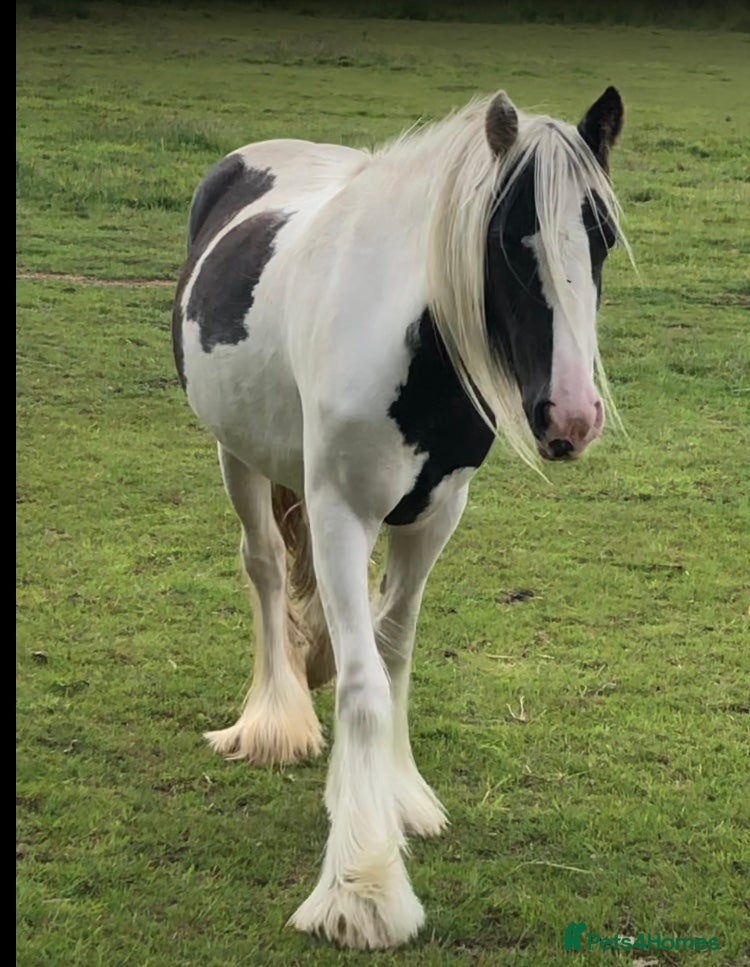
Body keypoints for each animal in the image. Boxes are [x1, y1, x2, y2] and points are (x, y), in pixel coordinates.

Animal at [172, 85, 627, 949]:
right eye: (508, 240)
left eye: (603, 237)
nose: (573, 416)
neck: (410, 349)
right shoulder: (341, 514)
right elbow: (360, 681)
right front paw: (363, 886)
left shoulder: (434, 516)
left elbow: (394, 653)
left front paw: (397, 796)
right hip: (234, 454)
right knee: (266, 570)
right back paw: (274, 721)